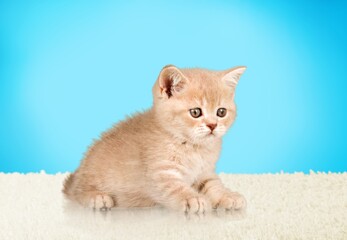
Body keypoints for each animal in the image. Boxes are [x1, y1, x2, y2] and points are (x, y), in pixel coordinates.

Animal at [62, 64, 247, 213]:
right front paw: (192, 199)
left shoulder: (205, 172)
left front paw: (227, 196)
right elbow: (176, 188)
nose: (212, 125)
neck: (192, 147)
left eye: (221, 112)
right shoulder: (161, 173)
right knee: (78, 192)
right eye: (195, 112)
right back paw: (97, 197)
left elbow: (213, 184)